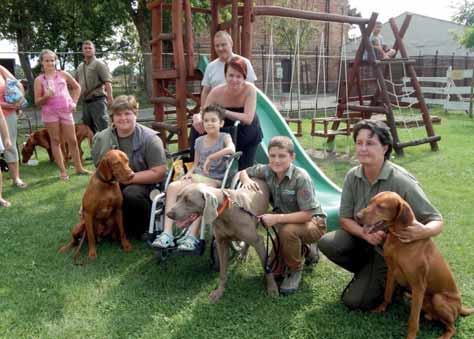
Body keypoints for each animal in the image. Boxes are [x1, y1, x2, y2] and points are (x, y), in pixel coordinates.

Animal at [358, 193, 472, 338]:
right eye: (371, 202)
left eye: (381, 207)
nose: (357, 216)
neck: (397, 241)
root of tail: (460, 307)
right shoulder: (391, 272)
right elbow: (387, 294)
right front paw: (380, 308)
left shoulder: (418, 285)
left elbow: (413, 319)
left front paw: (411, 335)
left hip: (438, 299)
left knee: (452, 327)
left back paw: (443, 335)